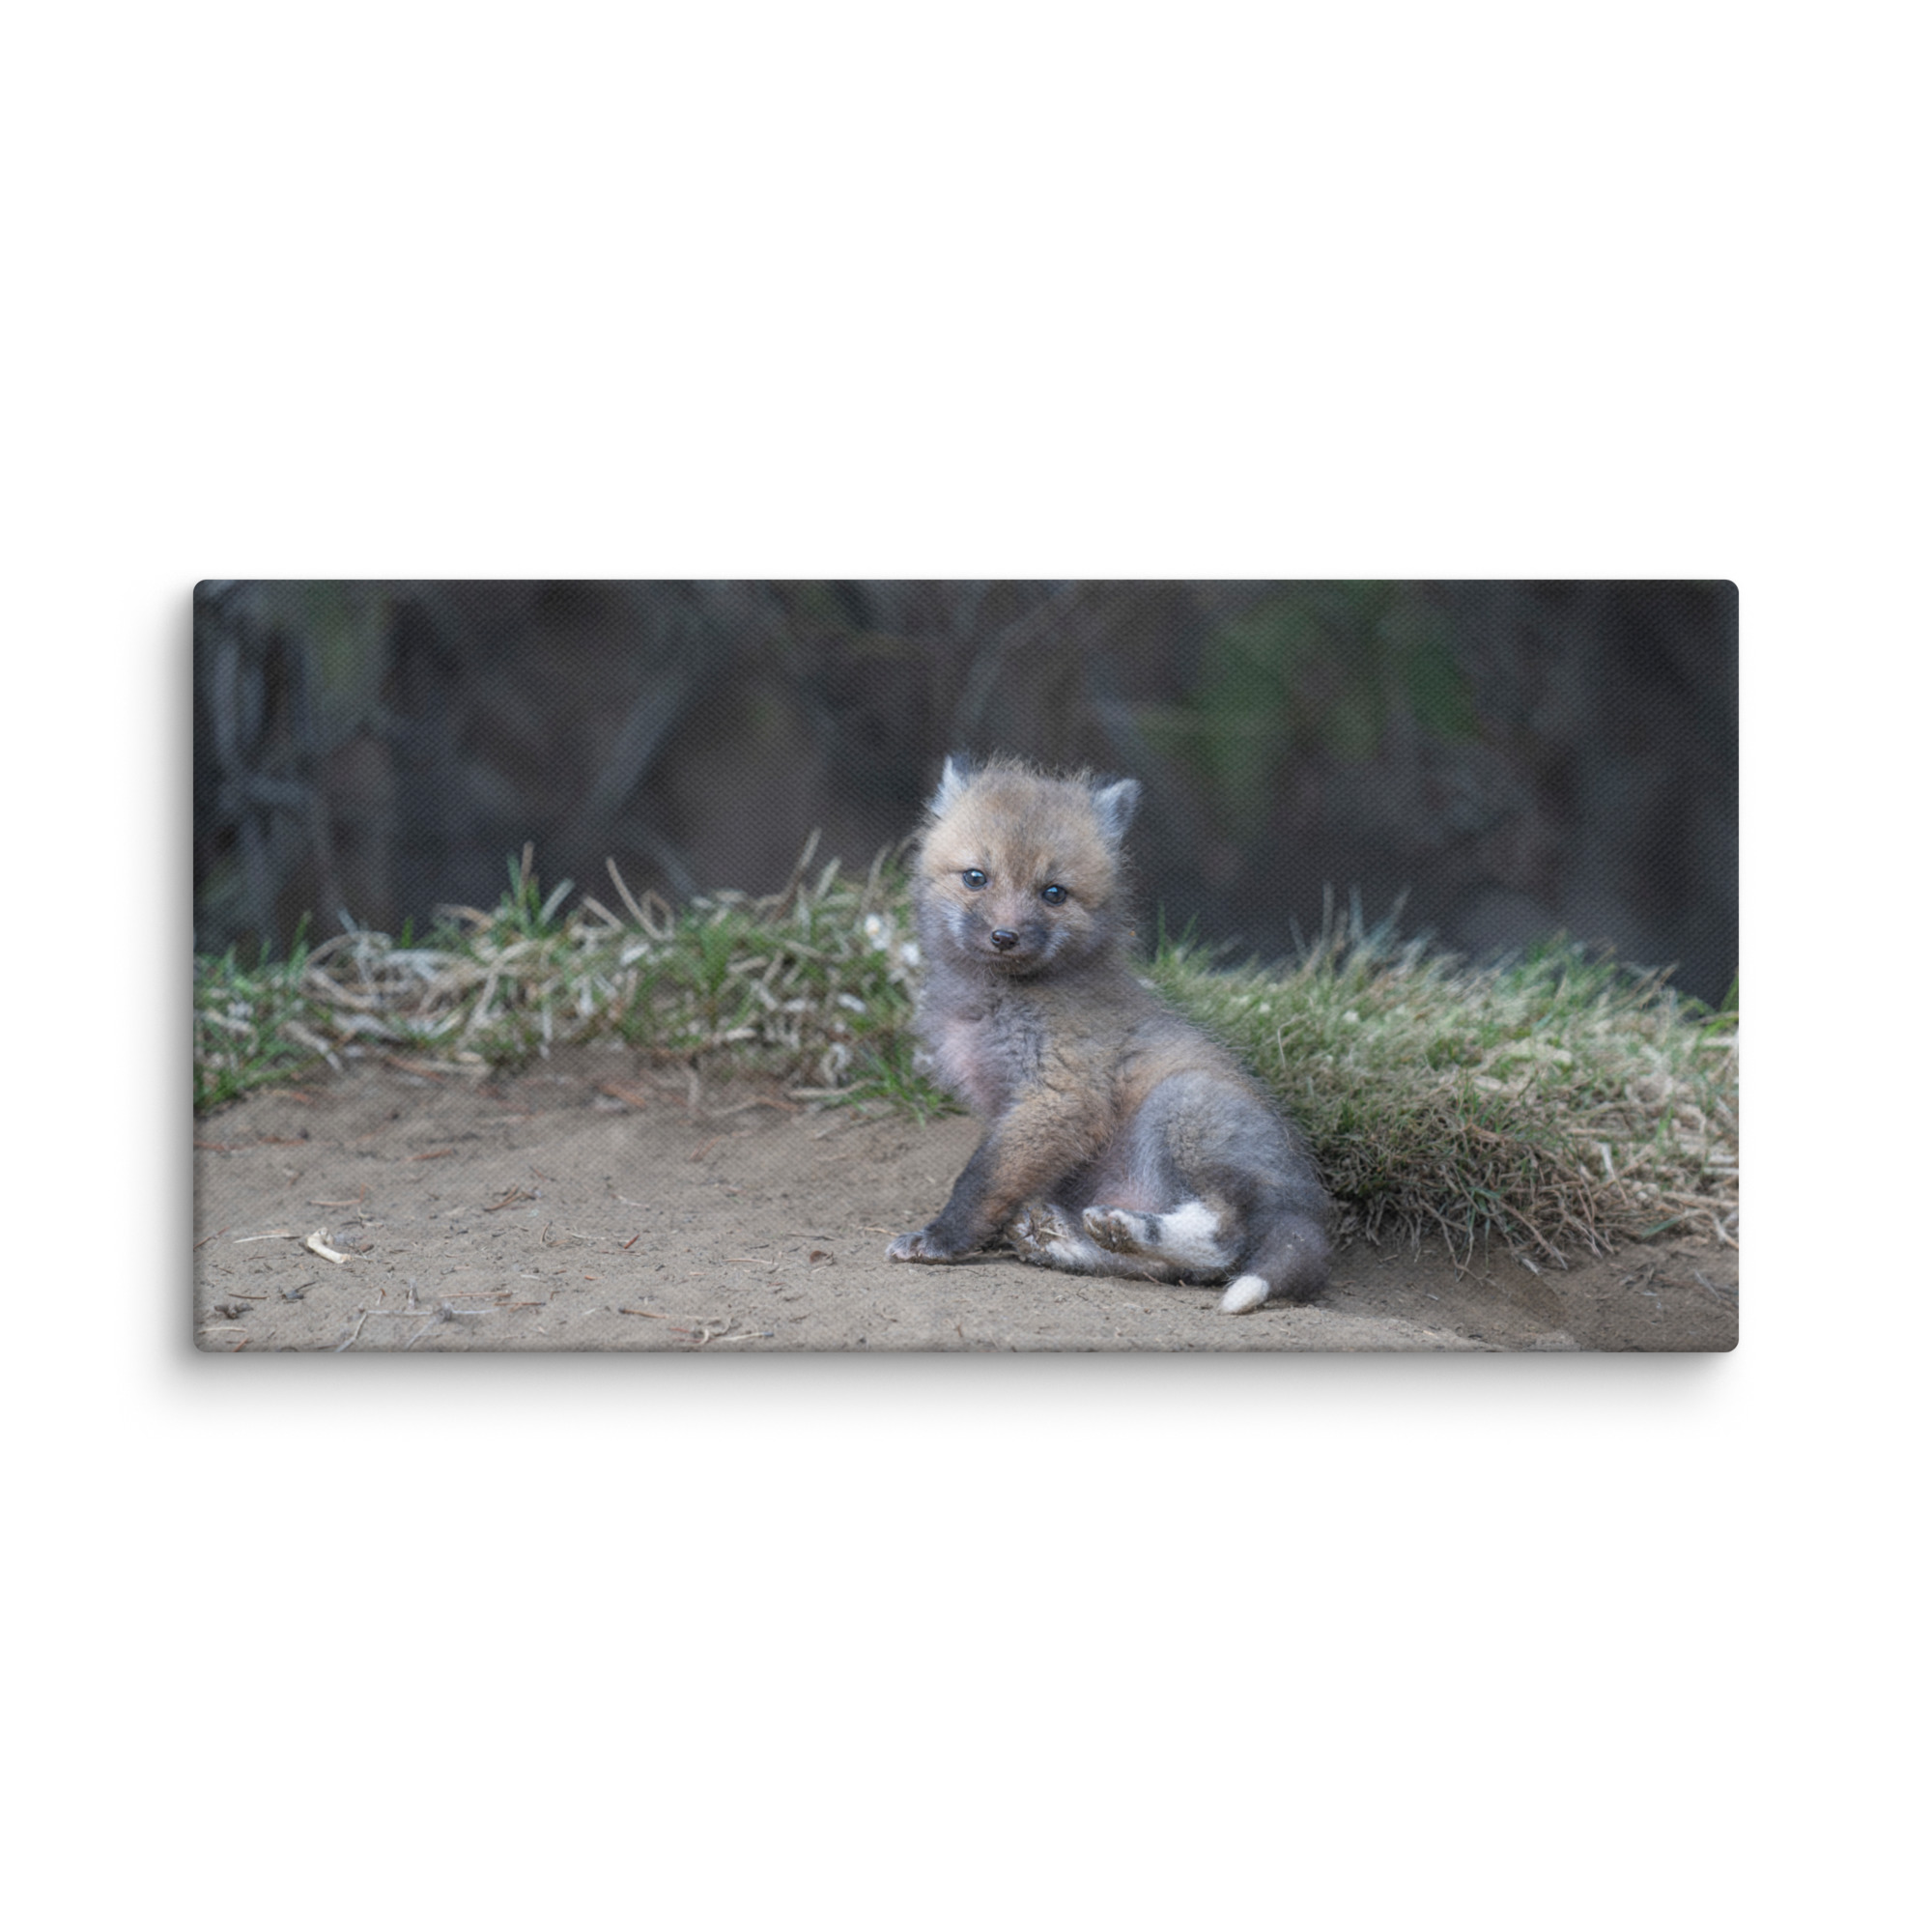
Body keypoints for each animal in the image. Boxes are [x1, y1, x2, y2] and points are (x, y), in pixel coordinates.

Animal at [884, 756, 1331, 1313]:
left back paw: (1126, 1228)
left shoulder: (1061, 1096)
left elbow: (981, 1180)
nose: (1004, 937)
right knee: (1172, 1270)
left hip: (1181, 1106)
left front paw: (942, 1239)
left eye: (1054, 893)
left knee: (1223, 1241)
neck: (996, 1001)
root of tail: (1308, 1207)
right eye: (975, 878)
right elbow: (1002, 1180)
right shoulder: (1012, 1108)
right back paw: (1068, 1241)